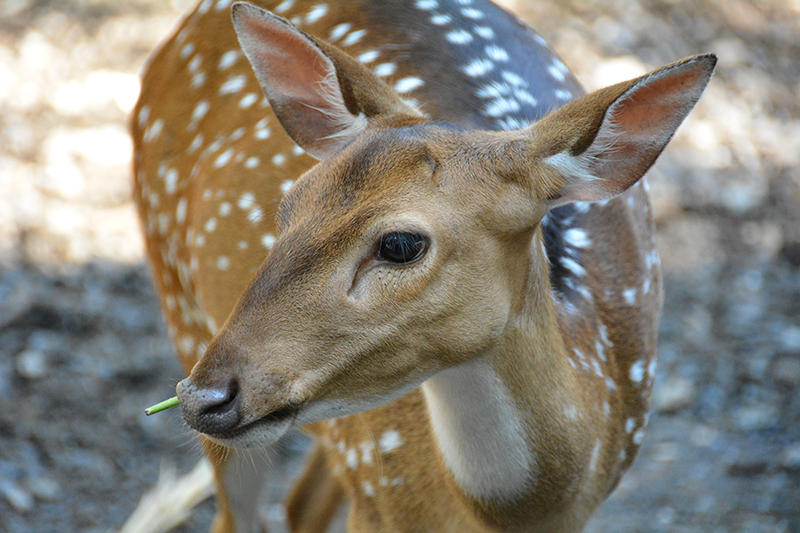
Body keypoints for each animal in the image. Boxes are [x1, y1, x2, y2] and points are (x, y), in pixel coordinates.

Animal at [133, 0, 720, 528]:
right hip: (180, 296)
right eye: (289, 204)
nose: (203, 398)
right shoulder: (378, 495)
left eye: (400, 244)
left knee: (301, 503)